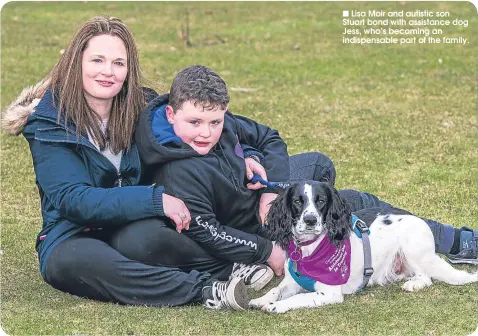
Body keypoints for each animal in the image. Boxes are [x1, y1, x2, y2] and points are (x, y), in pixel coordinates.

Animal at [248, 180, 476, 314]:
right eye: (297, 201)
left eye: (321, 201)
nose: (311, 220)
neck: (309, 248)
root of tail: (421, 220)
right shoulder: (291, 281)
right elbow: (276, 289)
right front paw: (262, 299)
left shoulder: (329, 293)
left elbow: (299, 297)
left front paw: (276, 305)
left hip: (412, 249)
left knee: (426, 277)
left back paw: (413, 284)